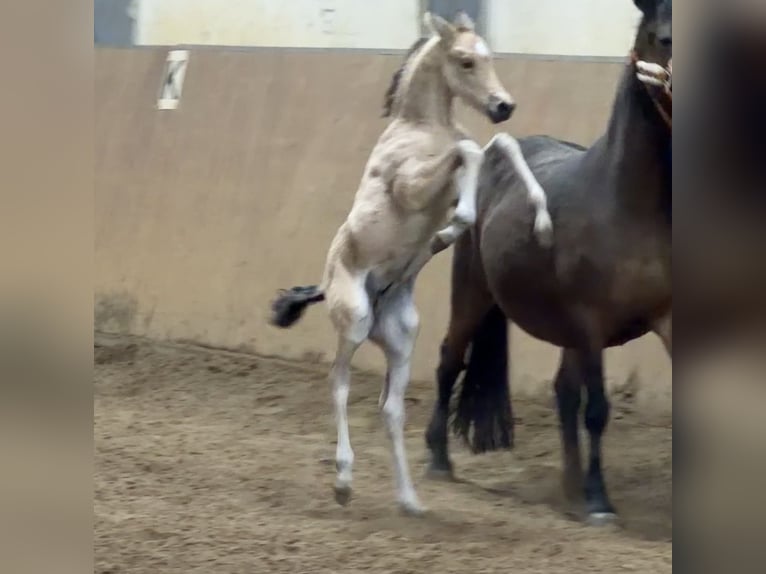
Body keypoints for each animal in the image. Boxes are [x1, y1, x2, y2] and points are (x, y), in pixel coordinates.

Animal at [268, 12, 552, 515]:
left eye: (488, 56)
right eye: (465, 61)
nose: (503, 105)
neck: (421, 128)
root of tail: (328, 285)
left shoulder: (463, 166)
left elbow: (499, 145)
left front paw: (542, 221)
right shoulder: (415, 186)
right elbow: (470, 153)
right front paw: (450, 231)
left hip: (402, 340)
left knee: (391, 408)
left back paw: (409, 499)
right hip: (354, 322)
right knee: (338, 383)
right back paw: (343, 481)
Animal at [423, 0, 672, 525]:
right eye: (665, 39)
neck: (628, 203)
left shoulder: (667, 318)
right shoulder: (592, 325)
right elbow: (597, 409)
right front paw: (600, 502)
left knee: (562, 391)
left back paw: (570, 486)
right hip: (472, 293)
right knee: (449, 360)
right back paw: (438, 459)